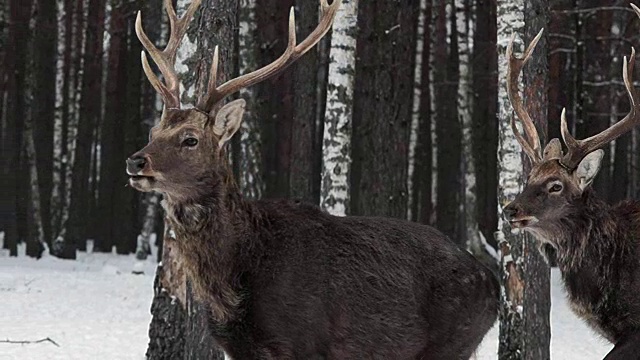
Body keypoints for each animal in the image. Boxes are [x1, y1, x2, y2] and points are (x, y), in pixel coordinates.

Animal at [127, 1, 500, 358]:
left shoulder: (305, 340)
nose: (135, 161)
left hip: (452, 341)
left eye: (190, 139)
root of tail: (493, 286)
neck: (233, 281)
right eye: (154, 131)